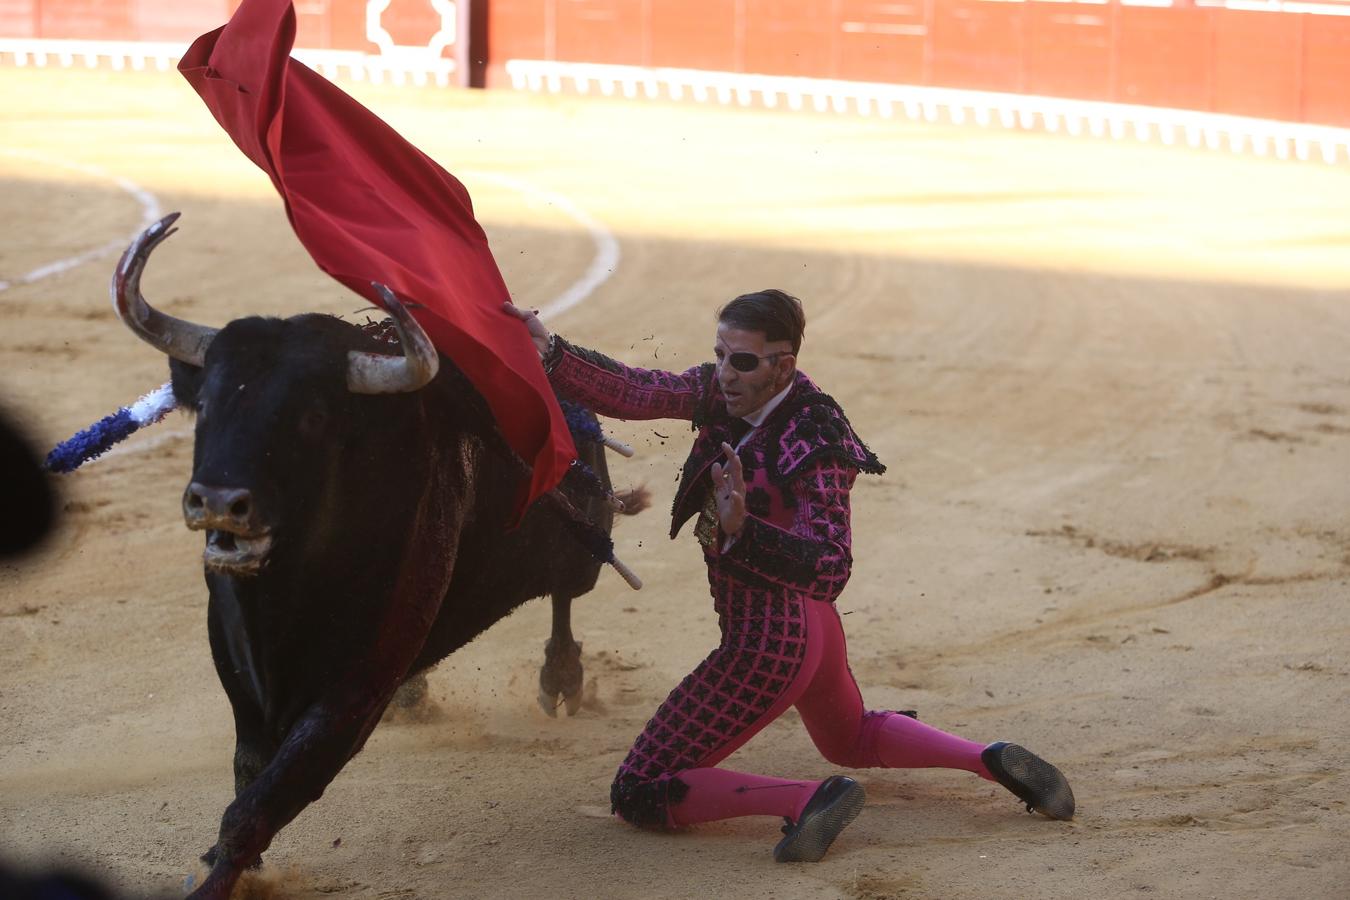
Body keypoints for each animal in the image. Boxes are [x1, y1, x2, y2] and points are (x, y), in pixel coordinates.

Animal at [112, 214, 642, 895]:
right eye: (204, 405)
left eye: (313, 416)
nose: (219, 502)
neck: (286, 591)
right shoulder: (234, 661)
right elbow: (250, 768)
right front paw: (226, 864)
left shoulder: (357, 688)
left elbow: (268, 794)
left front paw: (218, 879)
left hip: (583, 550)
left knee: (564, 599)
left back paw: (561, 678)